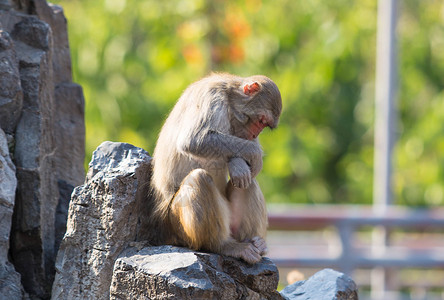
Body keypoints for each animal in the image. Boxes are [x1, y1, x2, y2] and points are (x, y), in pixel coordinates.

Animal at [151, 72, 282, 262]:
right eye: (261, 120)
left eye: (264, 125)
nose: (254, 135)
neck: (229, 97)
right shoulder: (212, 98)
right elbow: (195, 140)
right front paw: (254, 154)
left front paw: (239, 163)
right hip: (177, 225)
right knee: (199, 178)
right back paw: (222, 245)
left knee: (249, 181)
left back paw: (256, 244)